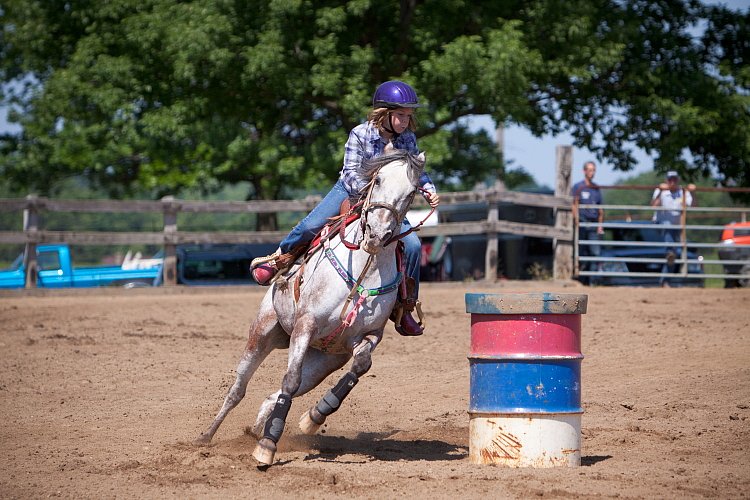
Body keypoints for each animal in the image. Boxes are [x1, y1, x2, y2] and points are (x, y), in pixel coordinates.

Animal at [197, 150, 426, 466]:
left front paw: (314, 417)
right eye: (378, 179)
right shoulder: (306, 325)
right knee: (238, 389)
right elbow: (290, 379)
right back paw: (207, 436)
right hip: (263, 334)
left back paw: (258, 428)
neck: (366, 266)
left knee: (276, 394)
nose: (377, 234)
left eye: (412, 191)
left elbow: (360, 366)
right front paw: (267, 446)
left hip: (323, 362)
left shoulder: (368, 336)